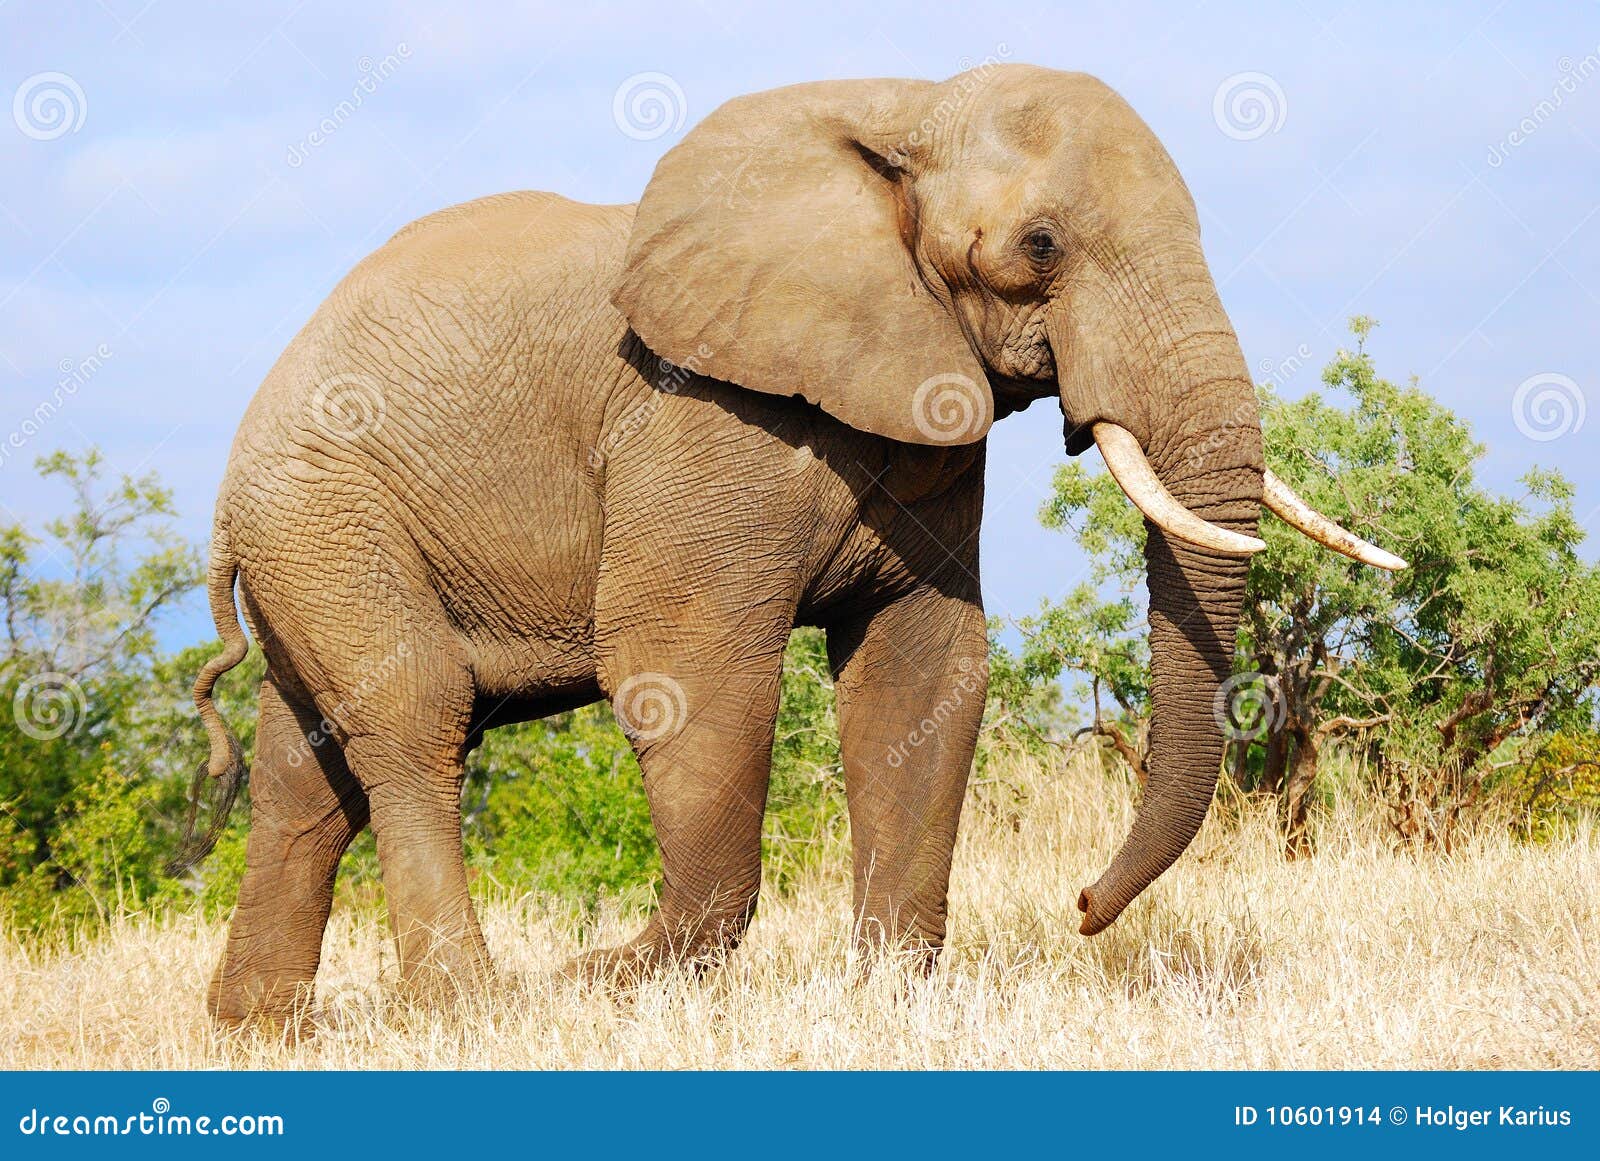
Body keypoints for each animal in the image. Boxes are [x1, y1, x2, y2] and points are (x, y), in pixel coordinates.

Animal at [187, 63, 1401, 1029]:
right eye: (1040, 245)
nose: (1083, 908)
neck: (902, 111)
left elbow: (922, 669)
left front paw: (890, 997)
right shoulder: (699, 417)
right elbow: (684, 667)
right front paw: (603, 986)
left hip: (312, 534)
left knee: (307, 772)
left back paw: (259, 1027)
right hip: (324, 508)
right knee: (413, 718)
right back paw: (472, 1012)